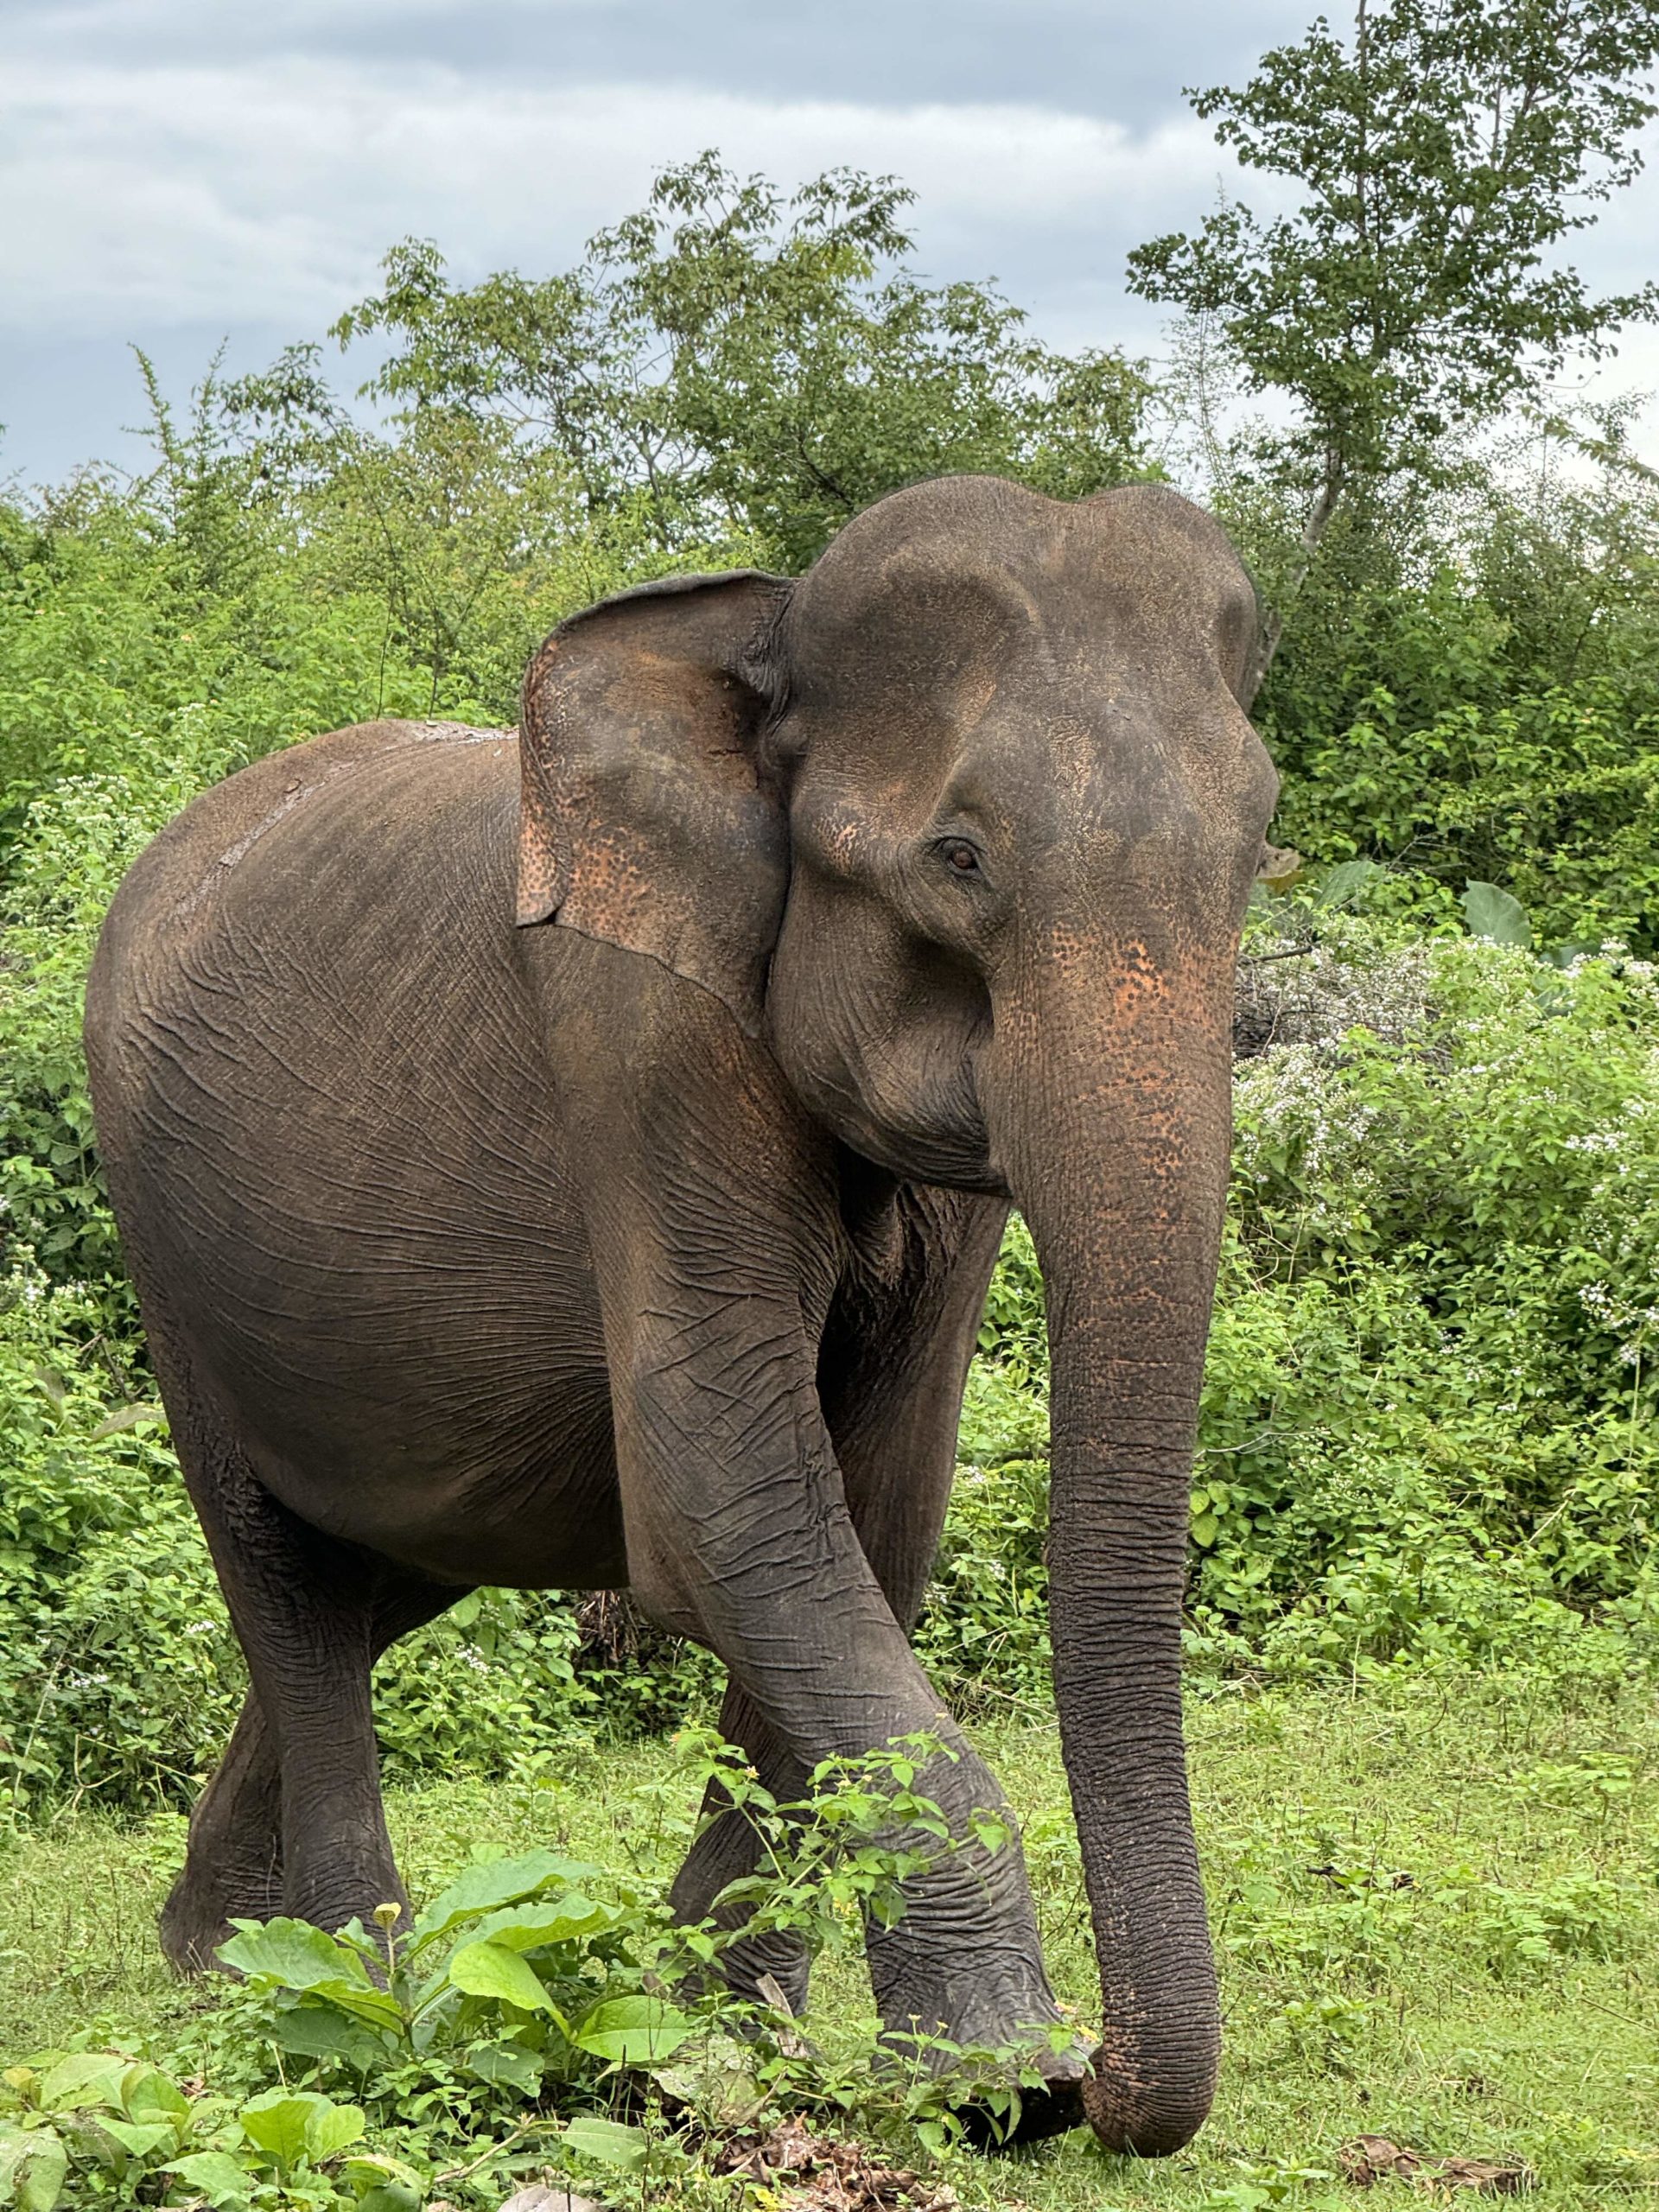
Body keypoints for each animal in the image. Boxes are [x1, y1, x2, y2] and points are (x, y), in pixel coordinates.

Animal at [87, 475, 1282, 2150]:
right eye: (961, 858)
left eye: (1262, 850)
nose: (1102, 2086)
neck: (755, 634)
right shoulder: (635, 1035)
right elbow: (731, 1493)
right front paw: (994, 2072)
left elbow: (878, 1508)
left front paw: (718, 2038)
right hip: (165, 1247)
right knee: (290, 1582)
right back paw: (350, 1984)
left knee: (387, 1578)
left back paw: (216, 1960)